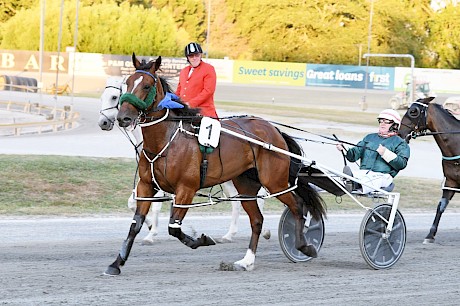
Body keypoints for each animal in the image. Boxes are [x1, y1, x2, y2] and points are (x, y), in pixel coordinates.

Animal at [98, 76, 270, 244]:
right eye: (102, 97)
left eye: (114, 97)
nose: (103, 122)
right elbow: (133, 203)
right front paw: (151, 225)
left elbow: (157, 207)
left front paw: (152, 233)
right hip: (231, 177)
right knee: (238, 200)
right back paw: (230, 234)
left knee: (253, 198)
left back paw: (261, 231)